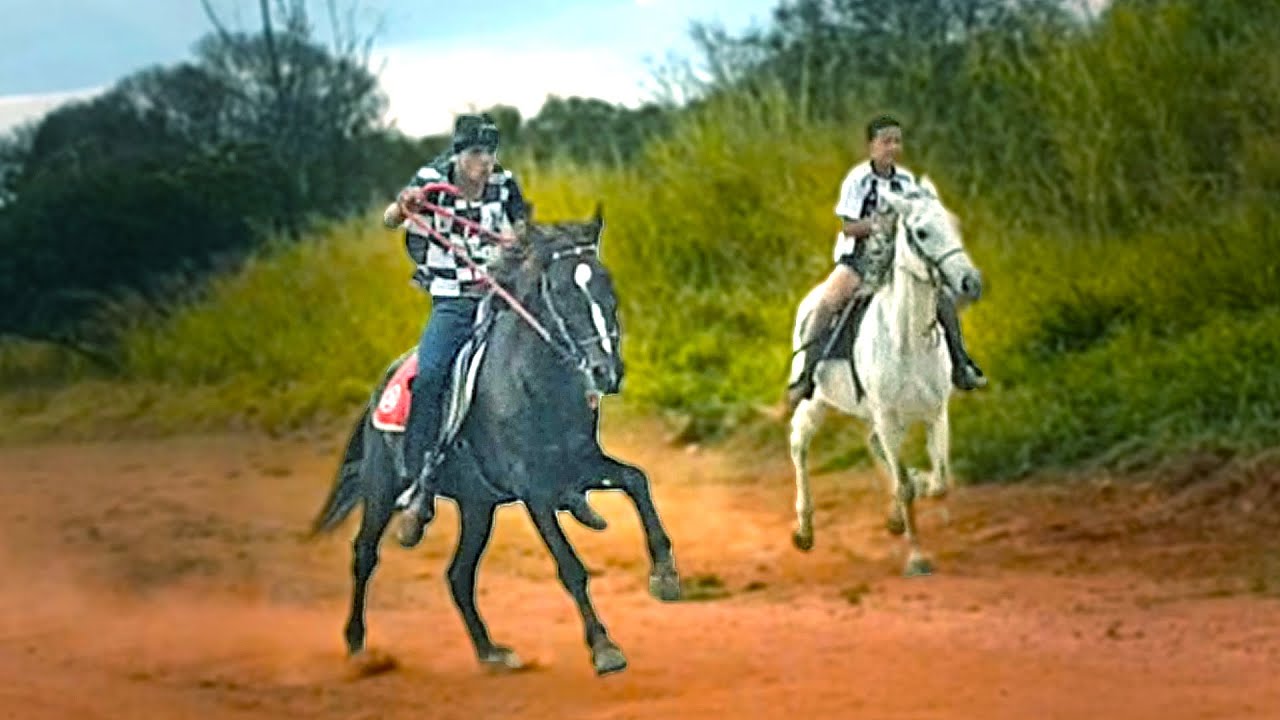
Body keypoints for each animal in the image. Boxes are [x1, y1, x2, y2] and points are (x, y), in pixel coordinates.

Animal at [309, 206, 682, 676]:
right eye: (561, 292)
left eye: (606, 284)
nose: (606, 371)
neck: (532, 383)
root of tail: (381, 386)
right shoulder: (535, 490)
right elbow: (569, 566)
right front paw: (603, 647)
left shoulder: (580, 464)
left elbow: (637, 480)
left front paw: (665, 575)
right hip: (381, 488)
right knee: (364, 554)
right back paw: (358, 644)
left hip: (477, 506)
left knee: (458, 574)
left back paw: (491, 651)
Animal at [786, 179, 983, 576]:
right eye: (921, 232)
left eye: (953, 224)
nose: (971, 282)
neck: (905, 338)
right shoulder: (889, 416)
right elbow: (908, 484)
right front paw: (918, 558)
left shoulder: (936, 413)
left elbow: (940, 481)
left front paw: (920, 489)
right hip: (818, 400)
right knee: (799, 442)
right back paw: (805, 530)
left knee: (875, 445)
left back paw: (894, 516)